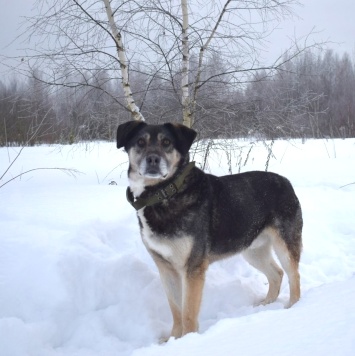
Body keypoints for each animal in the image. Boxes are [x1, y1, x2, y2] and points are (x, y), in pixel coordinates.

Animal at [116, 121, 304, 340]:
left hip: (285, 244)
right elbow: (176, 310)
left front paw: (188, 340)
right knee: (277, 273)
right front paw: (173, 339)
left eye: (167, 143)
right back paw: (265, 305)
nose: (153, 159)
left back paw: (293, 308)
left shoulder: (193, 268)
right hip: (253, 250)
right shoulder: (165, 267)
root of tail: (286, 182)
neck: (163, 193)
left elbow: (188, 313)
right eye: (140, 142)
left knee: (293, 275)